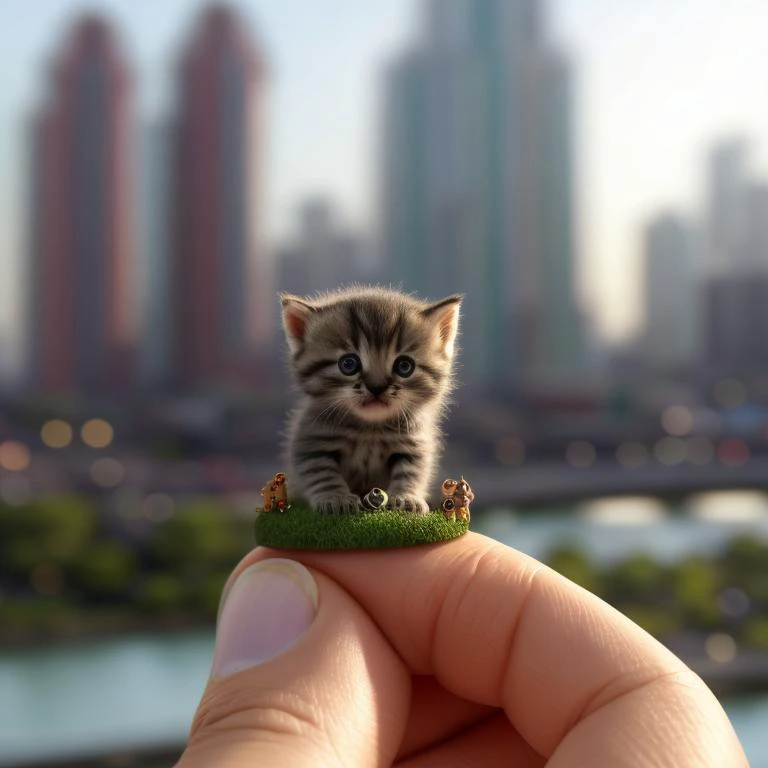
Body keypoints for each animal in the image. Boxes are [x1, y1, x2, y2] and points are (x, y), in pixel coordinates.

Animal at [282, 288, 462, 516]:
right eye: (348, 364)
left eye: (404, 366)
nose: (376, 387)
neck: (369, 430)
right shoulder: (311, 441)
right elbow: (321, 471)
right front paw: (336, 498)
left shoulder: (414, 443)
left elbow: (412, 471)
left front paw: (407, 497)